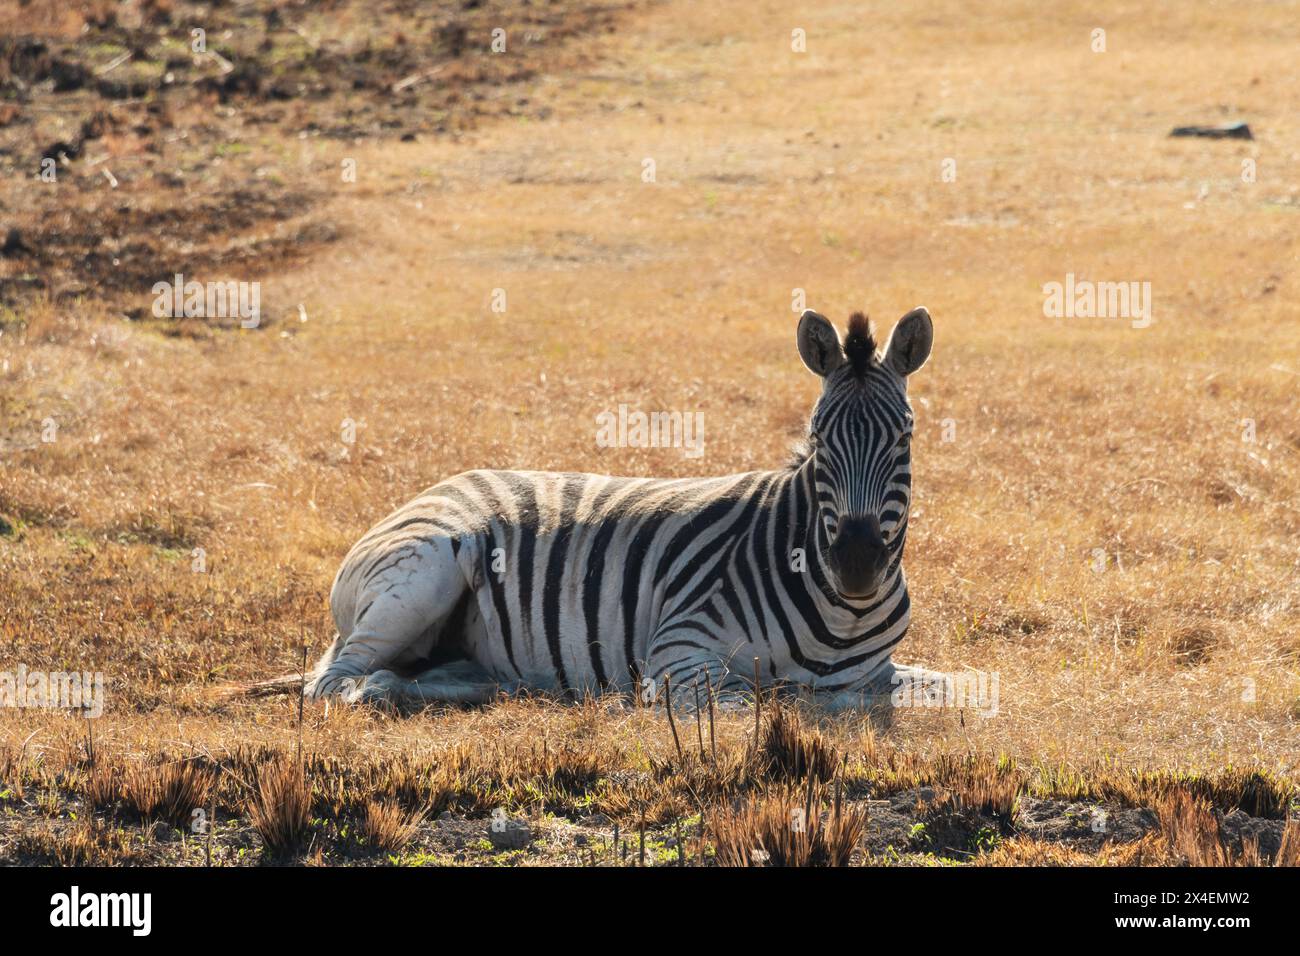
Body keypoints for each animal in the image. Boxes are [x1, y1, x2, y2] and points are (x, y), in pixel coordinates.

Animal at [304, 306, 956, 712]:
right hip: (422, 575)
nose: (857, 564)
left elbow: (950, 685)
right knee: (333, 681)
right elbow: (747, 700)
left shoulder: (880, 670)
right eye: (819, 440)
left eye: (905, 437)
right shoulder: (680, 646)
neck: (844, 613)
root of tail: (435, 486)